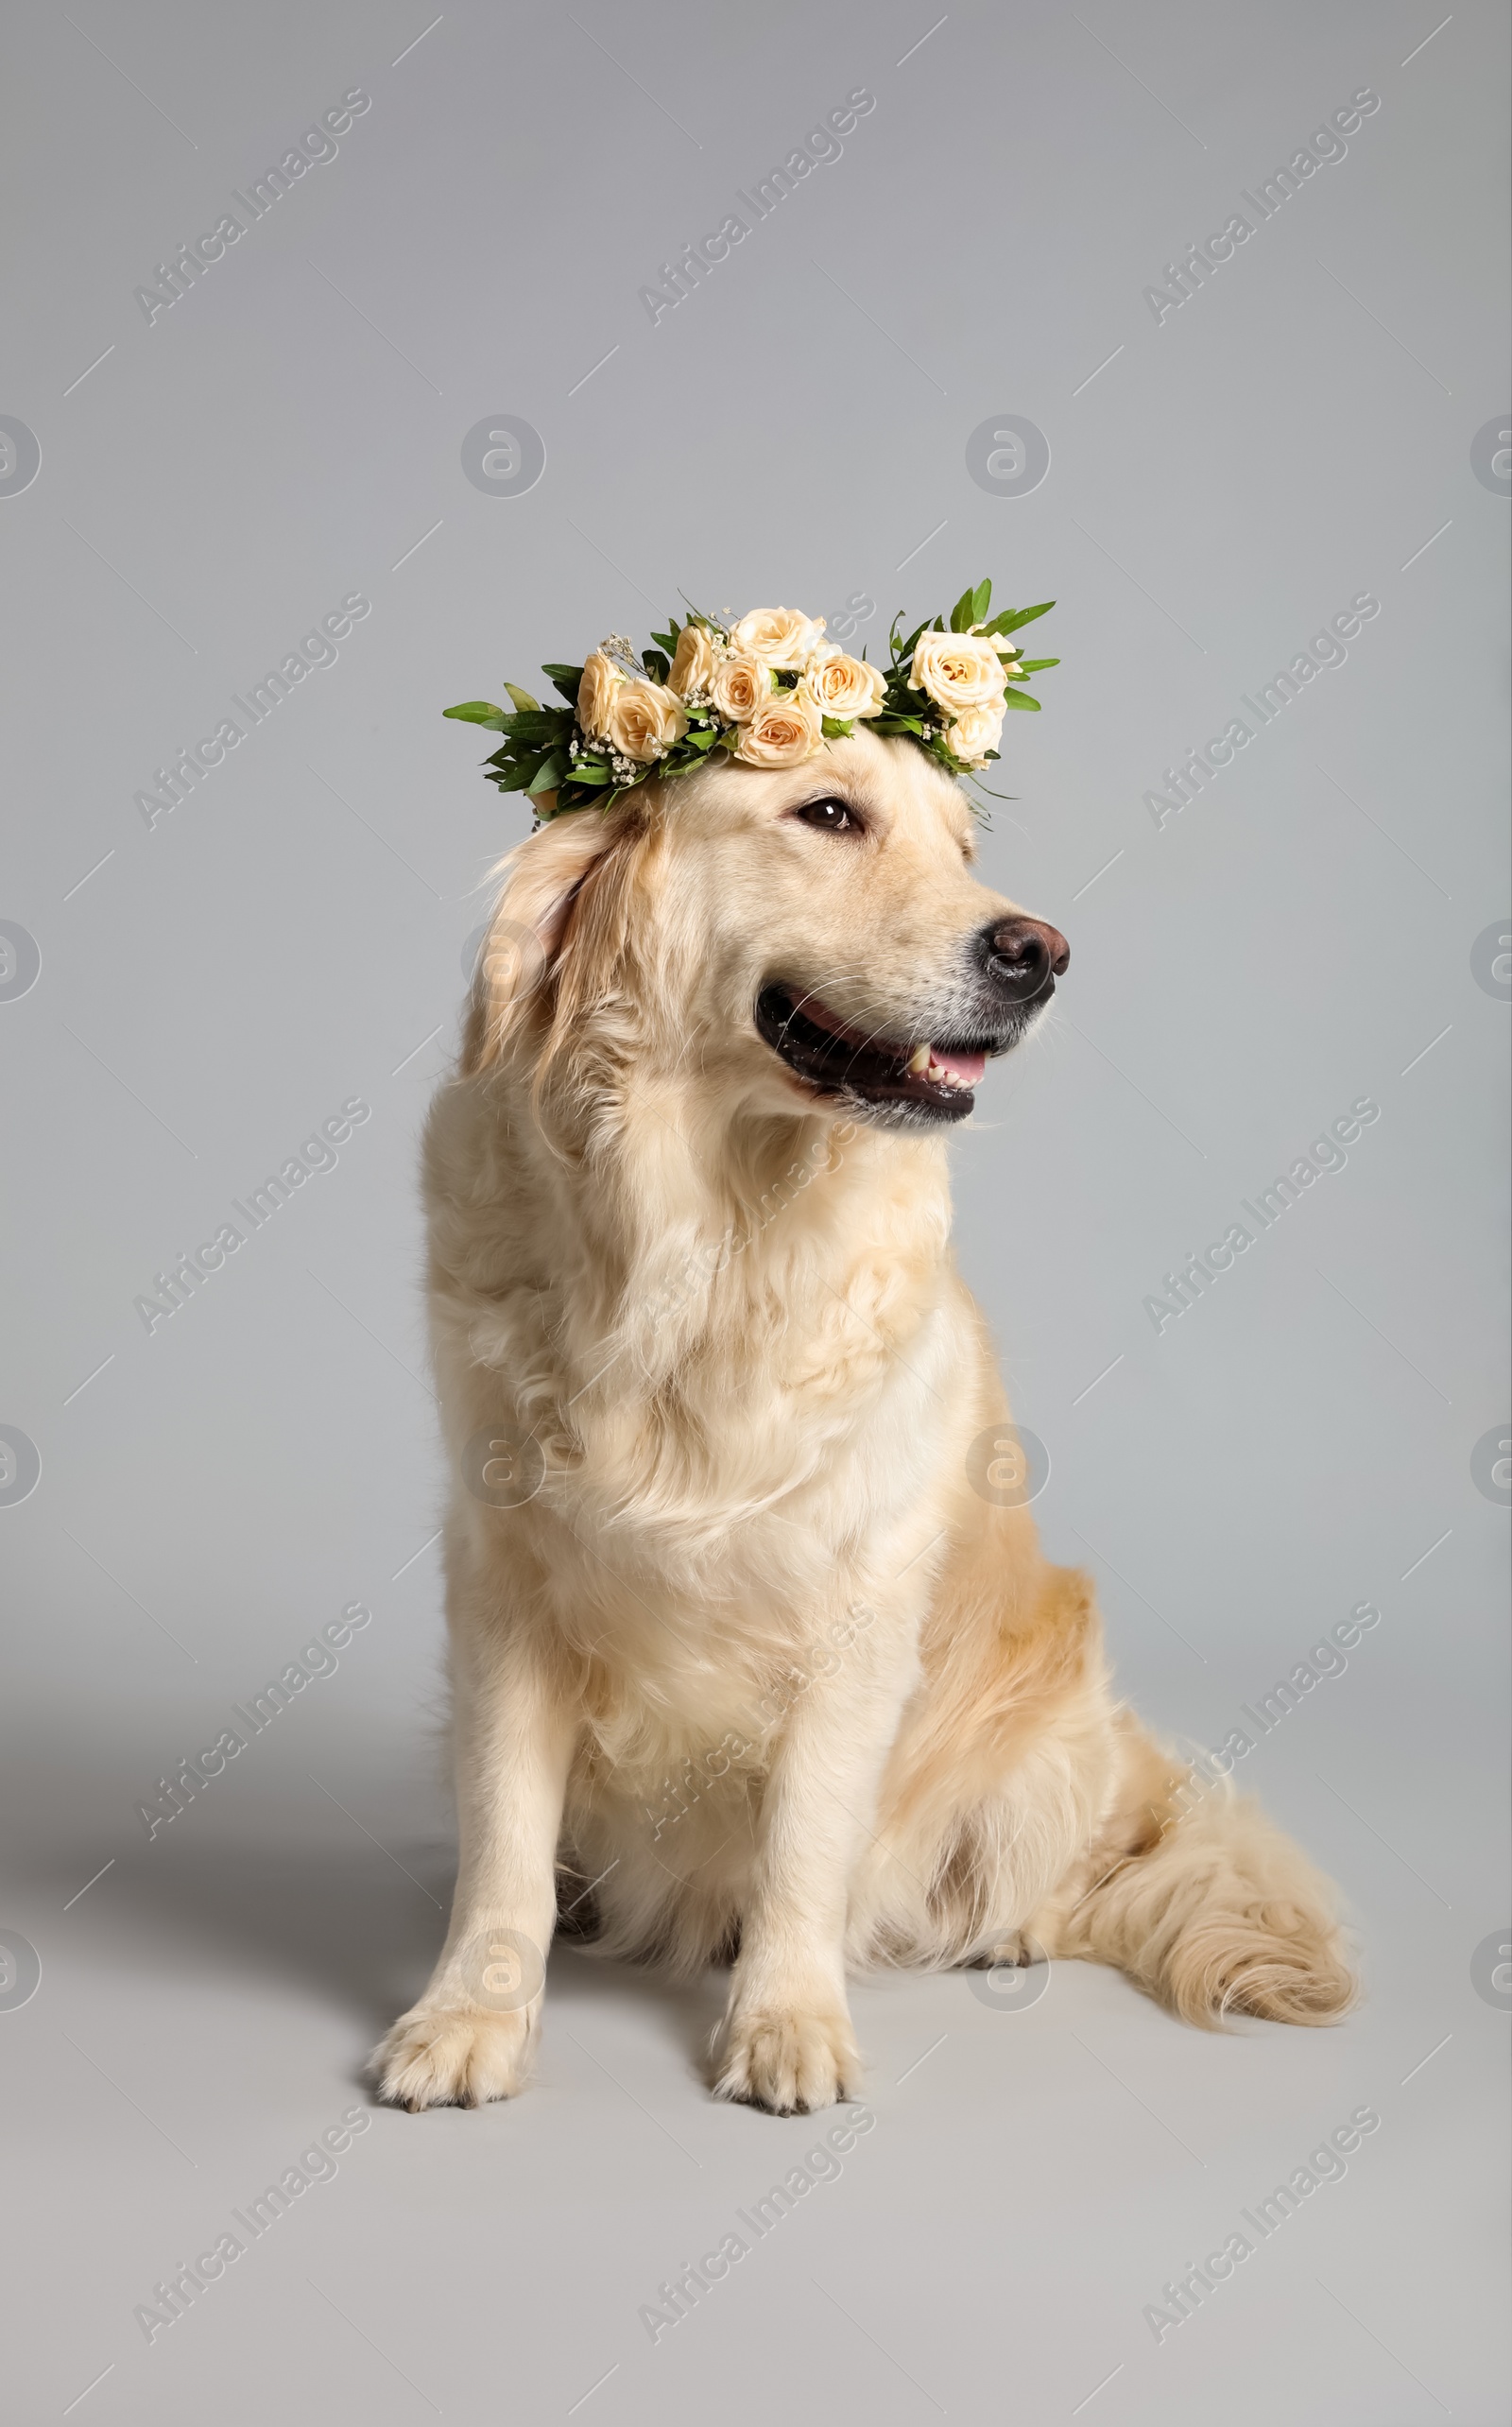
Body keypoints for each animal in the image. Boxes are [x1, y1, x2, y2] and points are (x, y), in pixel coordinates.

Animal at [373, 728, 1359, 2116]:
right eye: (828, 813)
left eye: (963, 846)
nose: (1039, 950)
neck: (702, 1238)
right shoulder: (506, 1581)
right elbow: (505, 1830)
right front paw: (471, 2015)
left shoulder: (856, 1598)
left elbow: (805, 1840)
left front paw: (786, 2023)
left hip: (1051, 1733)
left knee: (1067, 1865)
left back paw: (1003, 1926)